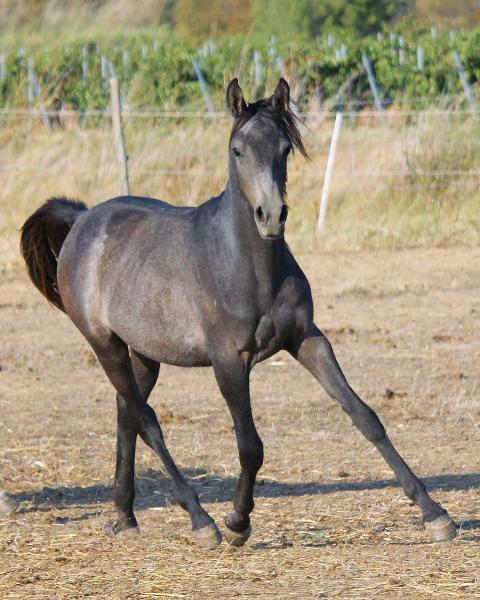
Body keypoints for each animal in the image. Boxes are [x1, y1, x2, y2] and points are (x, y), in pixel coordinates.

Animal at [16, 78, 456, 548]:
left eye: (284, 148)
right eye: (237, 150)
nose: (271, 216)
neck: (246, 265)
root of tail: (82, 220)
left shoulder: (308, 339)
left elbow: (365, 416)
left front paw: (435, 513)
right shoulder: (229, 360)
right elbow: (250, 445)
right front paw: (238, 522)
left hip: (144, 353)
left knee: (127, 411)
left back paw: (124, 515)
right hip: (105, 344)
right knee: (147, 420)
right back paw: (200, 521)